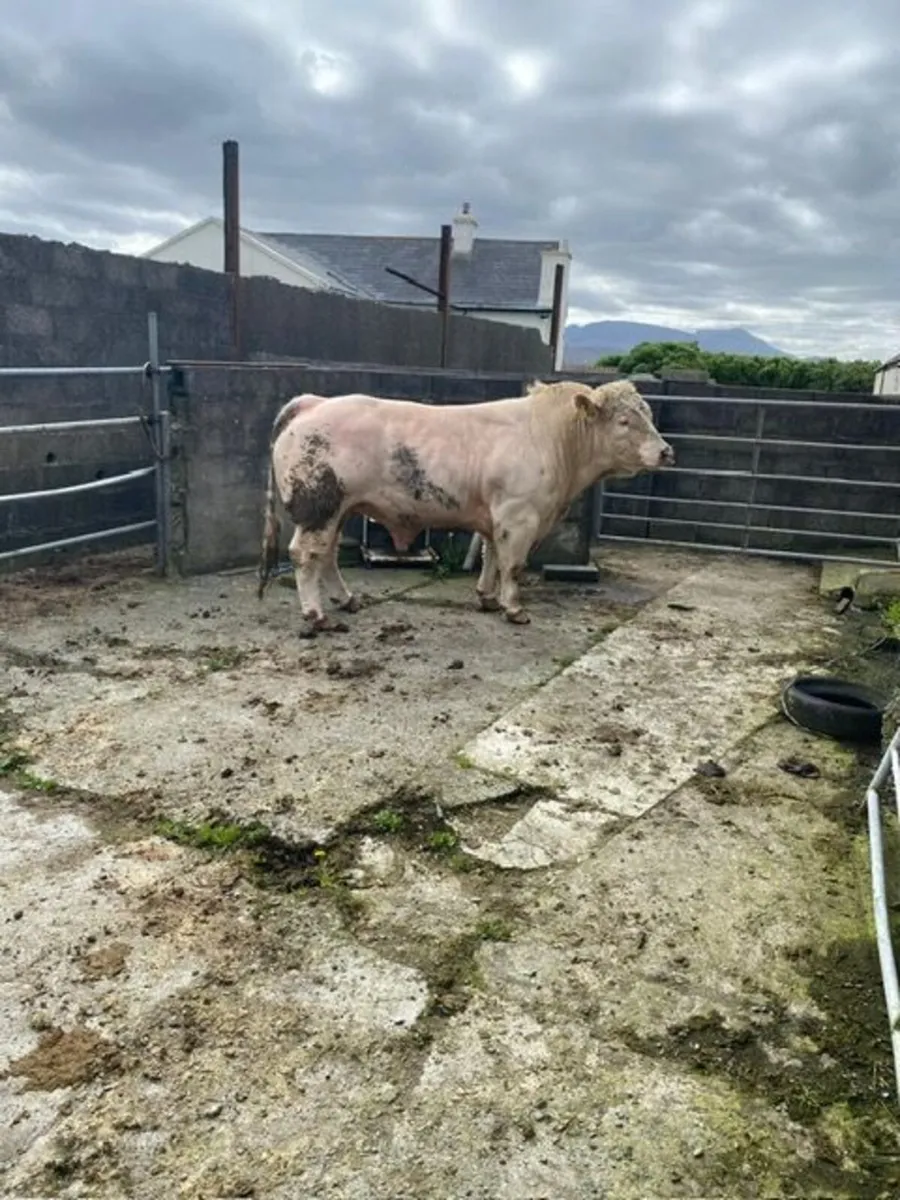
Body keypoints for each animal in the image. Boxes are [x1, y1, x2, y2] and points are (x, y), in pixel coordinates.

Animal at [257, 379, 674, 630]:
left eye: (649, 415)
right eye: (624, 421)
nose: (666, 451)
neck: (551, 438)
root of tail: (314, 403)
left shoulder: (496, 517)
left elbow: (491, 557)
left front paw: (487, 598)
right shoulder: (519, 516)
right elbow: (513, 565)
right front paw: (514, 609)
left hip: (339, 510)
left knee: (326, 556)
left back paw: (346, 601)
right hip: (319, 508)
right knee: (305, 555)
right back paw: (317, 616)